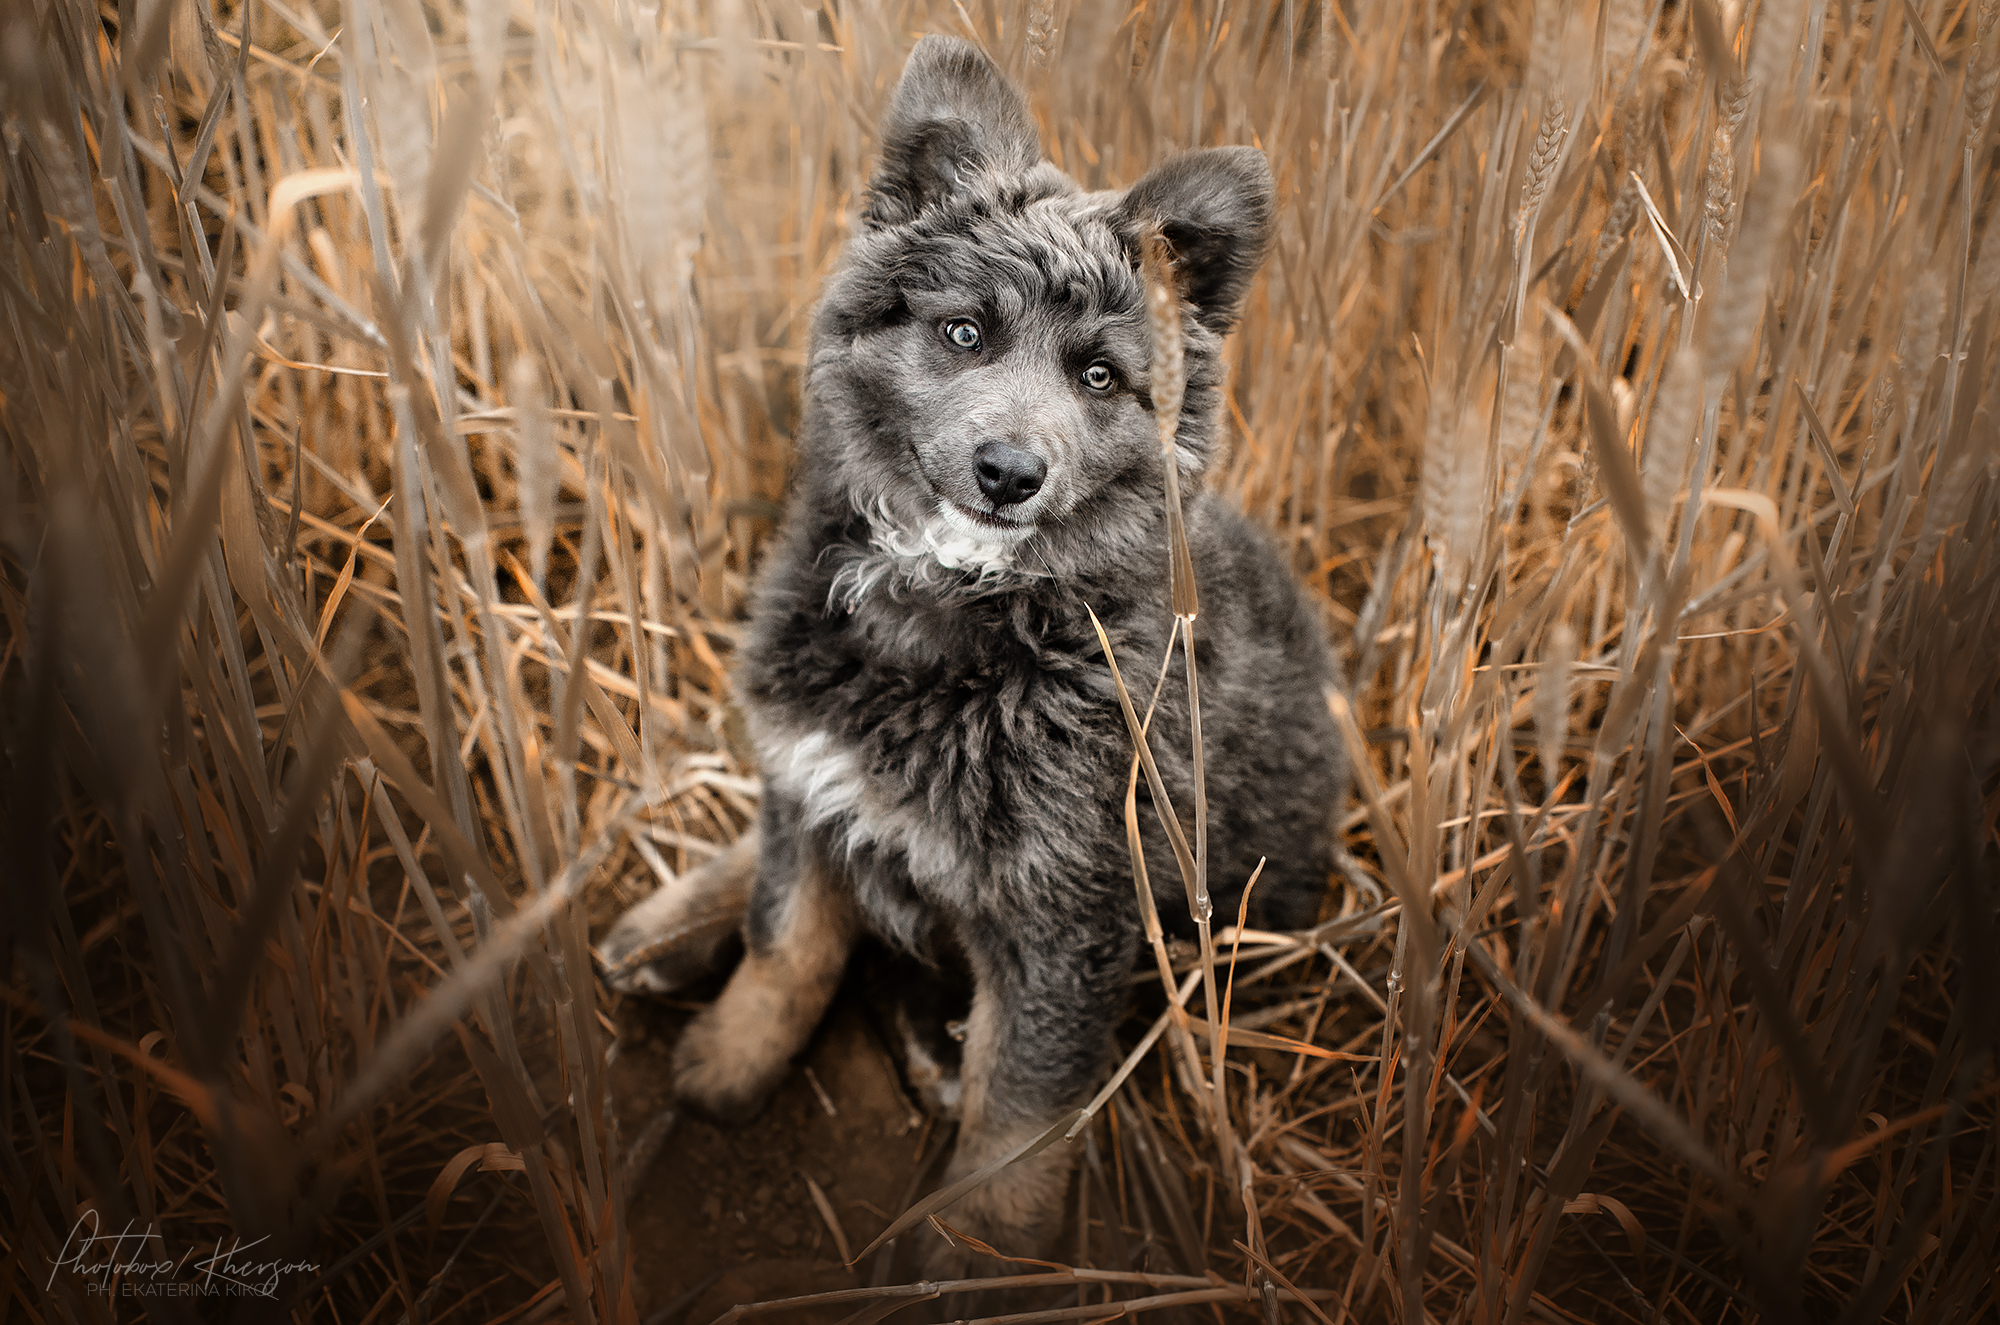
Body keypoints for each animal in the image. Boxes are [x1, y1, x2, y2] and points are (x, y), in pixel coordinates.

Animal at [596, 33, 1344, 1280]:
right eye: (962, 333)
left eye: (1098, 377)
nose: (1008, 472)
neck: (953, 615)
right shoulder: (813, 769)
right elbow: (786, 939)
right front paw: (730, 1060)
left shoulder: (1066, 915)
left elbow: (1014, 1112)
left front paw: (977, 1252)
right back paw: (669, 922)